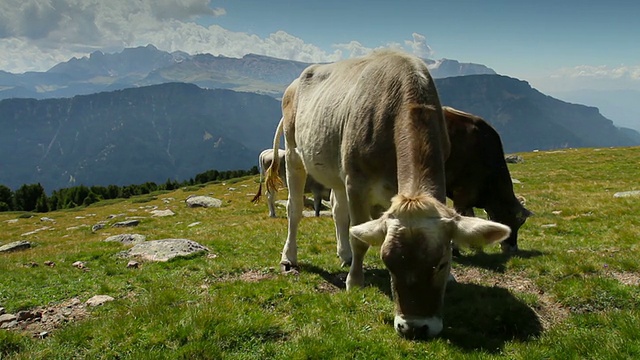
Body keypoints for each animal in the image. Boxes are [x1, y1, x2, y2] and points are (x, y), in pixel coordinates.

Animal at [262, 50, 510, 338]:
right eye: (389, 264)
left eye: (441, 263)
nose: (415, 327)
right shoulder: (356, 183)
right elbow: (359, 236)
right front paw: (355, 281)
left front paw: (450, 278)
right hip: (294, 155)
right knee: (294, 209)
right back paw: (290, 257)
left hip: (335, 169)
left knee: (337, 211)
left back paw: (344, 254)